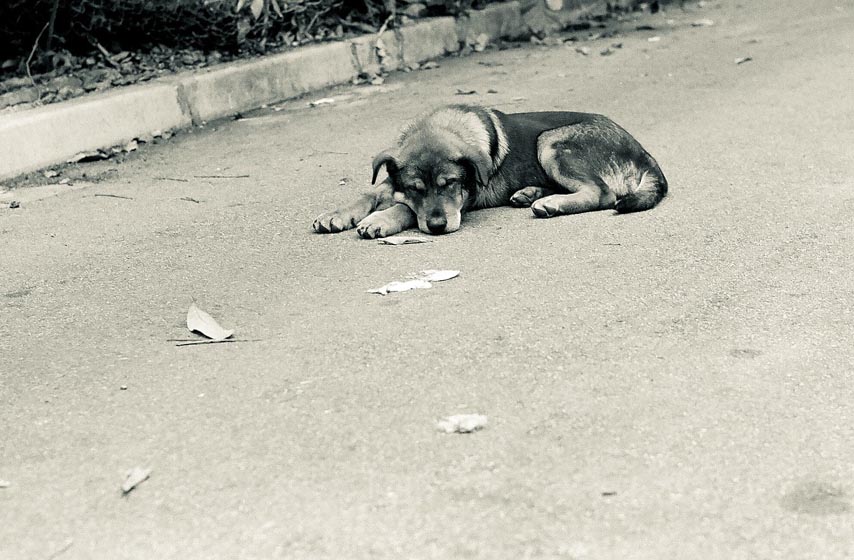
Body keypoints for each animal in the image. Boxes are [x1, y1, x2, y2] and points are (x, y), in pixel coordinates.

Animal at [310, 104, 664, 237]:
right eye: (414, 188)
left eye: (450, 184)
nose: (437, 228)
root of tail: (644, 152)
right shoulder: (391, 181)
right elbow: (370, 193)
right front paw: (337, 214)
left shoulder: (463, 201)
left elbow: (406, 210)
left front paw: (380, 220)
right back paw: (529, 194)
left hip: (550, 142)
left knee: (602, 193)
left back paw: (551, 204)